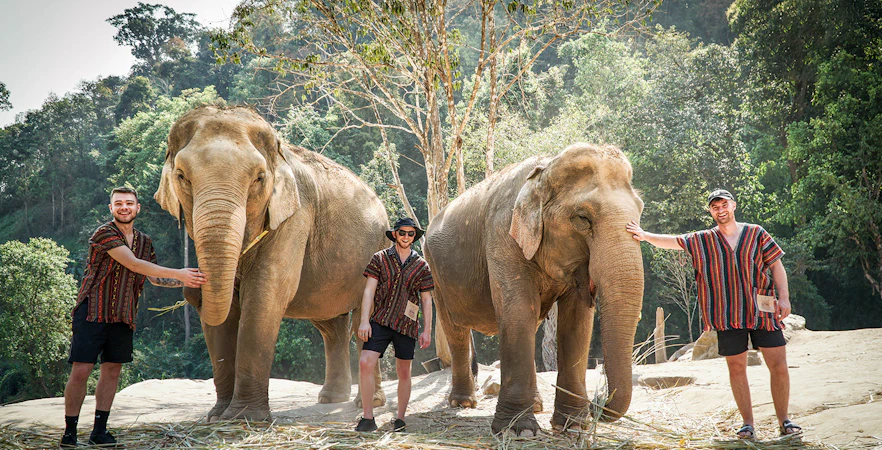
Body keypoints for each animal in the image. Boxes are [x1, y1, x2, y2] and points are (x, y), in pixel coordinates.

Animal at [154, 106, 389, 422]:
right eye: (181, 176)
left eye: (259, 178)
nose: (192, 290)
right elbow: (226, 311)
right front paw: (217, 416)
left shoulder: (295, 216)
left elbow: (265, 293)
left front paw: (244, 418)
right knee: (331, 325)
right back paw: (331, 399)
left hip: (379, 250)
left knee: (365, 319)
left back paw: (368, 403)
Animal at [424, 143, 644, 435]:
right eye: (582, 218)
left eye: (640, 211)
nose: (597, 402)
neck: (546, 168)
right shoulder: (502, 234)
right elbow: (519, 311)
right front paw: (518, 430)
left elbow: (576, 322)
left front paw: (573, 426)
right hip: (436, 272)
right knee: (455, 330)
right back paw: (463, 403)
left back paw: (537, 406)